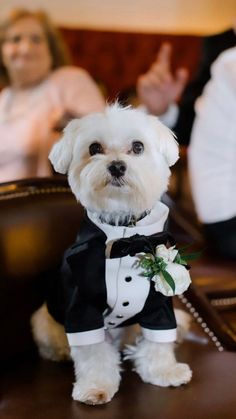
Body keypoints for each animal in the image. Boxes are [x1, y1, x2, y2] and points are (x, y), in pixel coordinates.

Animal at [31, 104, 193, 406]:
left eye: (138, 147)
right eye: (94, 148)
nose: (117, 166)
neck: (126, 236)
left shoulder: (159, 304)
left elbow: (159, 339)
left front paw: (163, 371)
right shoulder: (82, 306)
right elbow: (92, 351)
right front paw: (96, 386)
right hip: (45, 321)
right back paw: (59, 352)